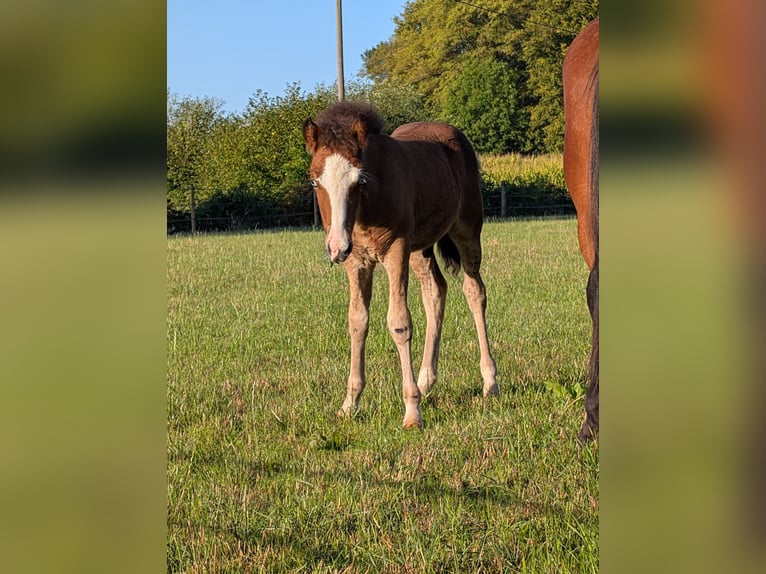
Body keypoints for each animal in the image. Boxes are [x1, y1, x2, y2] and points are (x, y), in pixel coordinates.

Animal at [303, 101, 498, 429]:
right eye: (315, 181)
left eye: (359, 180)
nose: (336, 247)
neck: (367, 207)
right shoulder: (357, 260)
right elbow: (357, 322)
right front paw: (349, 404)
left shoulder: (396, 251)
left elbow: (399, 323)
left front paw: (411, 411)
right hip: (420, 249)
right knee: (436, 291)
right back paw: (425, 380)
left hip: (467, 231)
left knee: (474, 291)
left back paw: (490, 382)